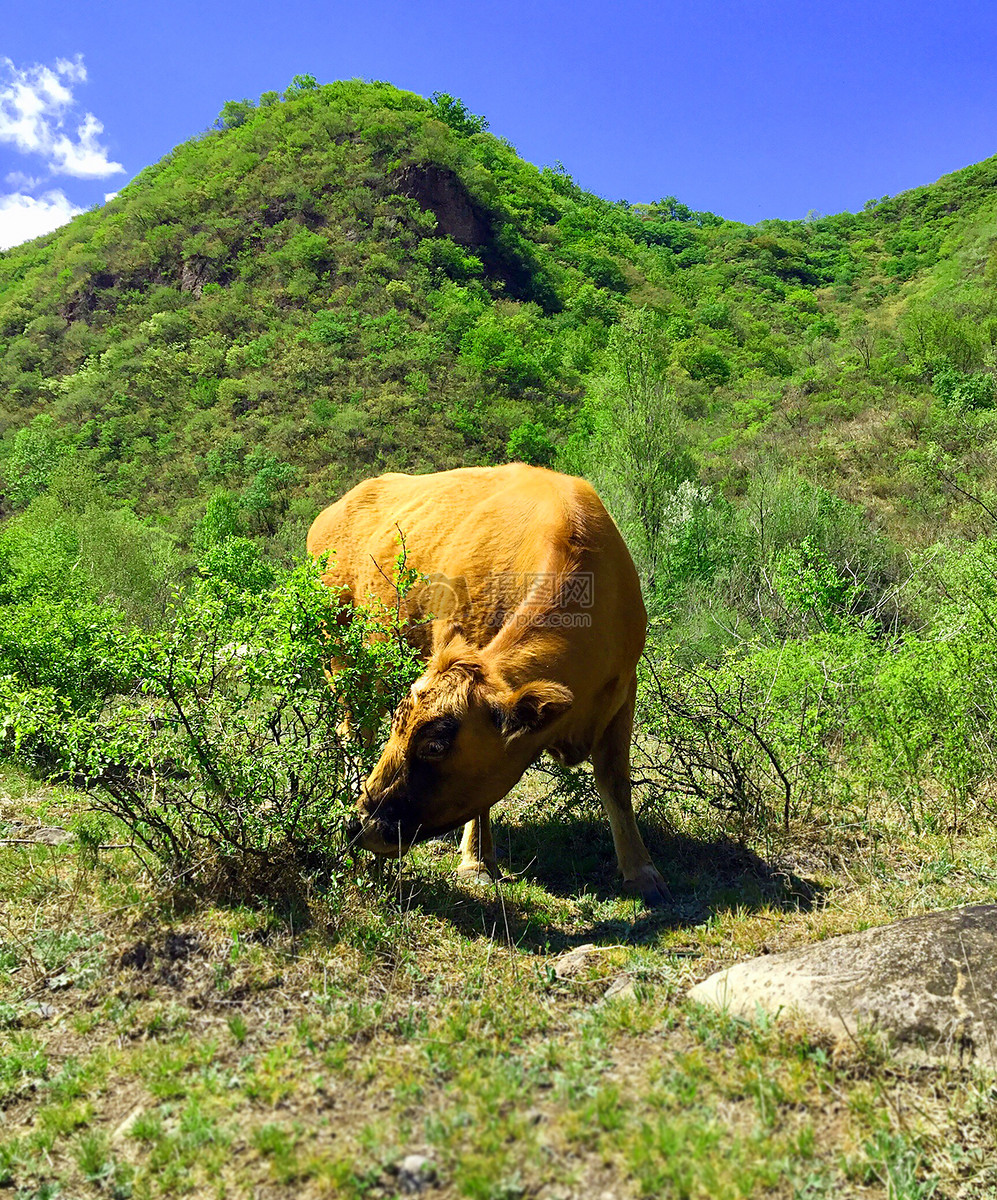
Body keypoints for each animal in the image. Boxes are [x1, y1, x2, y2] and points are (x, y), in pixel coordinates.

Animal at [307, 463, 667, 902]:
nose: (358, 825)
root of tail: (335, 509)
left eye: (435, 746)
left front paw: (642, 870)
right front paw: (476, 862)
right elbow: (482, 801)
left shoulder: (623, 691)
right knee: (352, 730)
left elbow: (615, 781)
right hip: (341, 659)